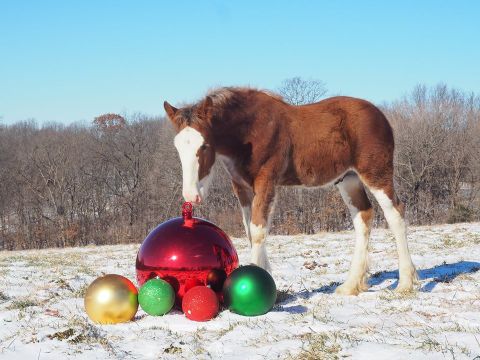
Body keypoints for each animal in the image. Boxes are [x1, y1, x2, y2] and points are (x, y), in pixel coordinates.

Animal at [164, 88, 416, 296]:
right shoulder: (242, 187)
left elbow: (258, 230)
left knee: (395, 214)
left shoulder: (267, 182)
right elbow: (249, 231)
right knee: (364, 216)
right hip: (348, 179)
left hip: (376, 174)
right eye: (177, 147)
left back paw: (406, 283)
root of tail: (380, 115)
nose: (191, 196)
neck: (251, 131)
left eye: (204, 145)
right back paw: (351, 285)